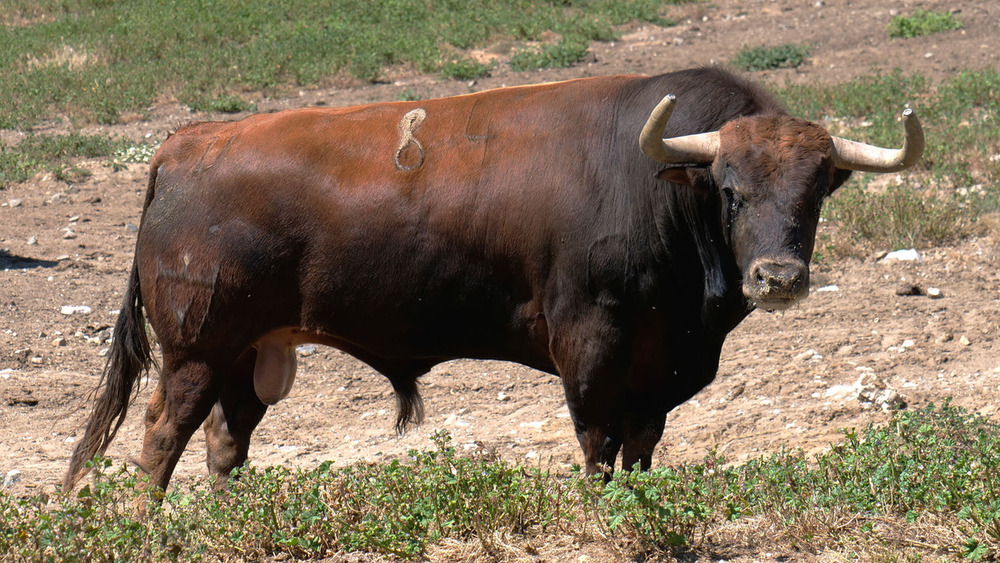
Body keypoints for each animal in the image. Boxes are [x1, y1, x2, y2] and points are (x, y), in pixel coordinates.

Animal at [62, 66, 920, 492]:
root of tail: (187, 141)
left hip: (253, 351)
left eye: (817, 189)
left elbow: (641, 449)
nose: (778, 275)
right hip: (197, 347)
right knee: (162, 436)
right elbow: (597, 443)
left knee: (225, 438)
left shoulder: (663, 370)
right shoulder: (591, 344)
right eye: (730, 187)